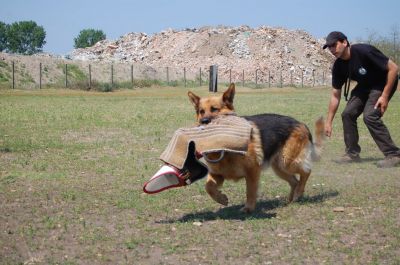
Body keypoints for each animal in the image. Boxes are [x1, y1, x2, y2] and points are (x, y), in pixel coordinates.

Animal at [188, 83, 324, 211]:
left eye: (214, 109)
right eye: (201, 111)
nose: (204, 122)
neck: (225, 148)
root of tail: (301, 124)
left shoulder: (252, 171)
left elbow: (250, 191)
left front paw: (249, 208)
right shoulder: (217, 174)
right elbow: (208, 187)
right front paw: (221, 199)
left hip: (287, 162)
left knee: (306, 172)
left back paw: (298, 194)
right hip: (280, 168)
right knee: (295, 181)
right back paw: (291, 200)